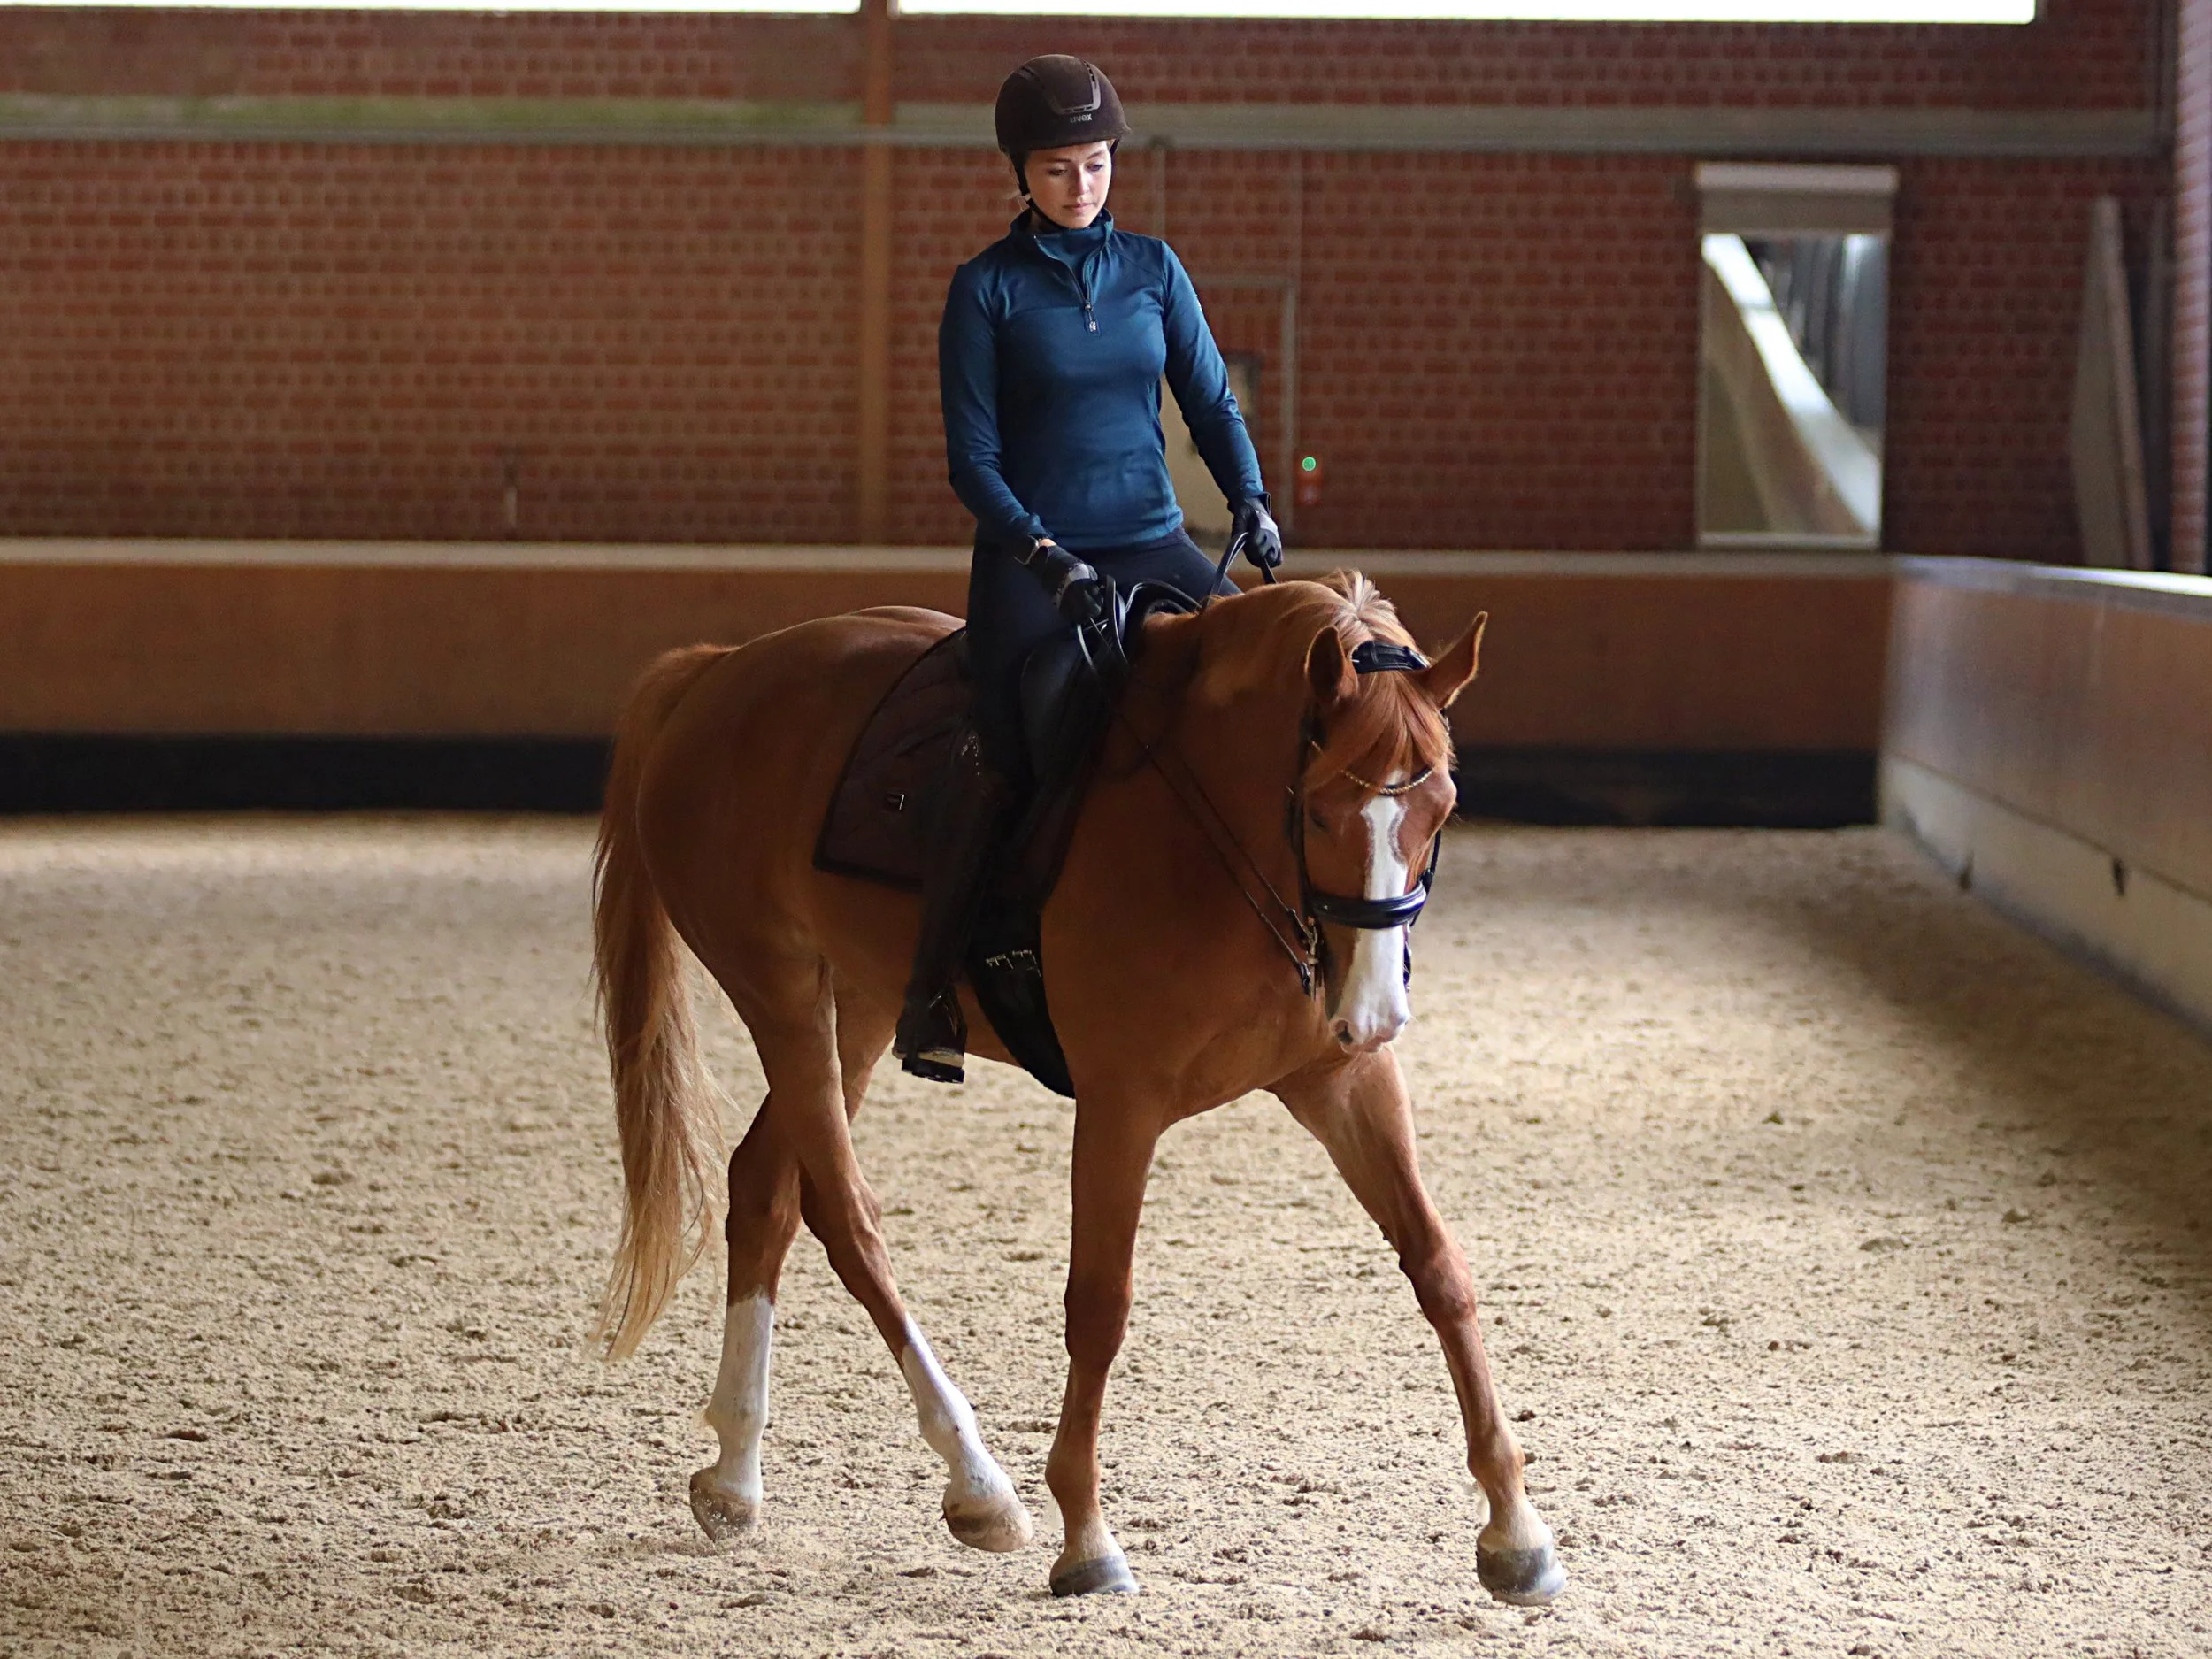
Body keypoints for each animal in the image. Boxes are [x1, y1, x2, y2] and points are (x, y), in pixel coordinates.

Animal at [588, 569, 1565, 1607]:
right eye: (1319, 812)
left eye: (1442, 809)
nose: (1376, 1009)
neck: (1210, 828)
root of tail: (719, 672)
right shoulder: (1120, 1101)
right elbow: (1099, 1305)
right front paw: (1088, 1537)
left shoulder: (1343, 1081)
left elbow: (1439, 1267)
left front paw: (1517, 1531)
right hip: (779, 994)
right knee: (847, 1215)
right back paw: (977, 1484)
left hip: (853, 1004)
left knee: (769, 1187)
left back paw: (735, 1475)